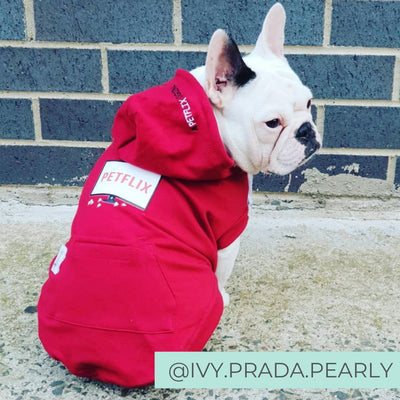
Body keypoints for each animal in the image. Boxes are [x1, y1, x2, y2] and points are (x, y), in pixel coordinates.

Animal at [36, 2, 320, 388]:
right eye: (272, 124)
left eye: (309, 102)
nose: (307, 131)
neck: (205, 126)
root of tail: (91, 361)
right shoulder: (227, 233)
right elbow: (221, 271)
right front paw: (224, 295)